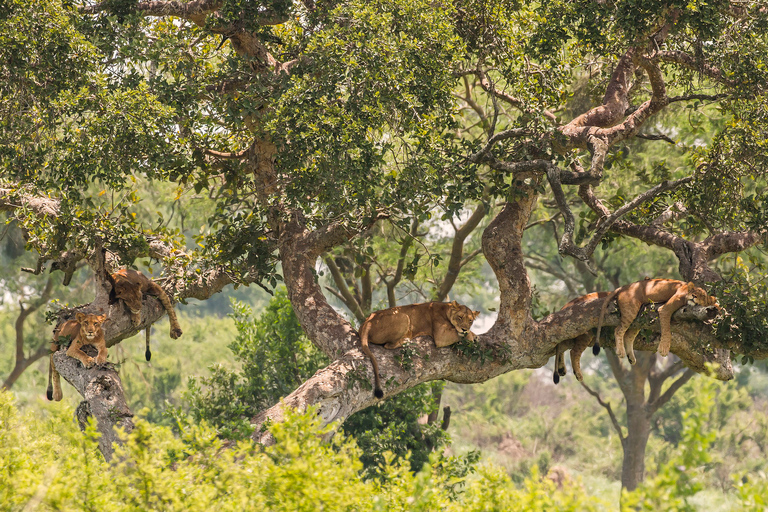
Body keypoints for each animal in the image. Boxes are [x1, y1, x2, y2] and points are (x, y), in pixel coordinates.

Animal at [592, 278, 720, 362]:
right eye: (693, 292)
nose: (694, 296)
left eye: (702, 296)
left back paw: (631, 357)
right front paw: (664, 348)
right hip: (630, 310)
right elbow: (667, 330)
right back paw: (621, 352)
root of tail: (624, 286)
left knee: (628, 335)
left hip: (639, 317)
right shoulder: (665, 309)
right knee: (618, 330)